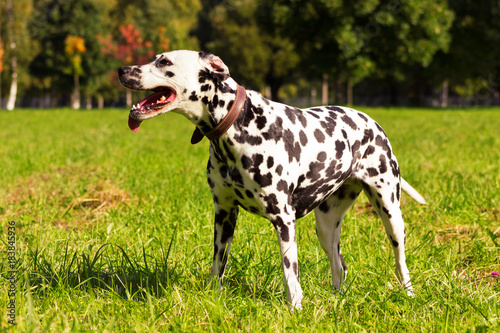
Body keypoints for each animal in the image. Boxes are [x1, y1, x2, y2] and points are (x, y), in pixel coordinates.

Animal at [117, 49, 426, 308]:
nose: (121, 69)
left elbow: (291, 274)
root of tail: (372, 123)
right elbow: (218, 266)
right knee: (340, 266)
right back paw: (337, 298)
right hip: (326, 226)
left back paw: (408, 294)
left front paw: (295, 308)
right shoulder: (224, 214)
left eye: (164, 61)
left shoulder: (283, 220)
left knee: (400, 261)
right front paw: (214, 299)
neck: (241, 124)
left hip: (390, 213)